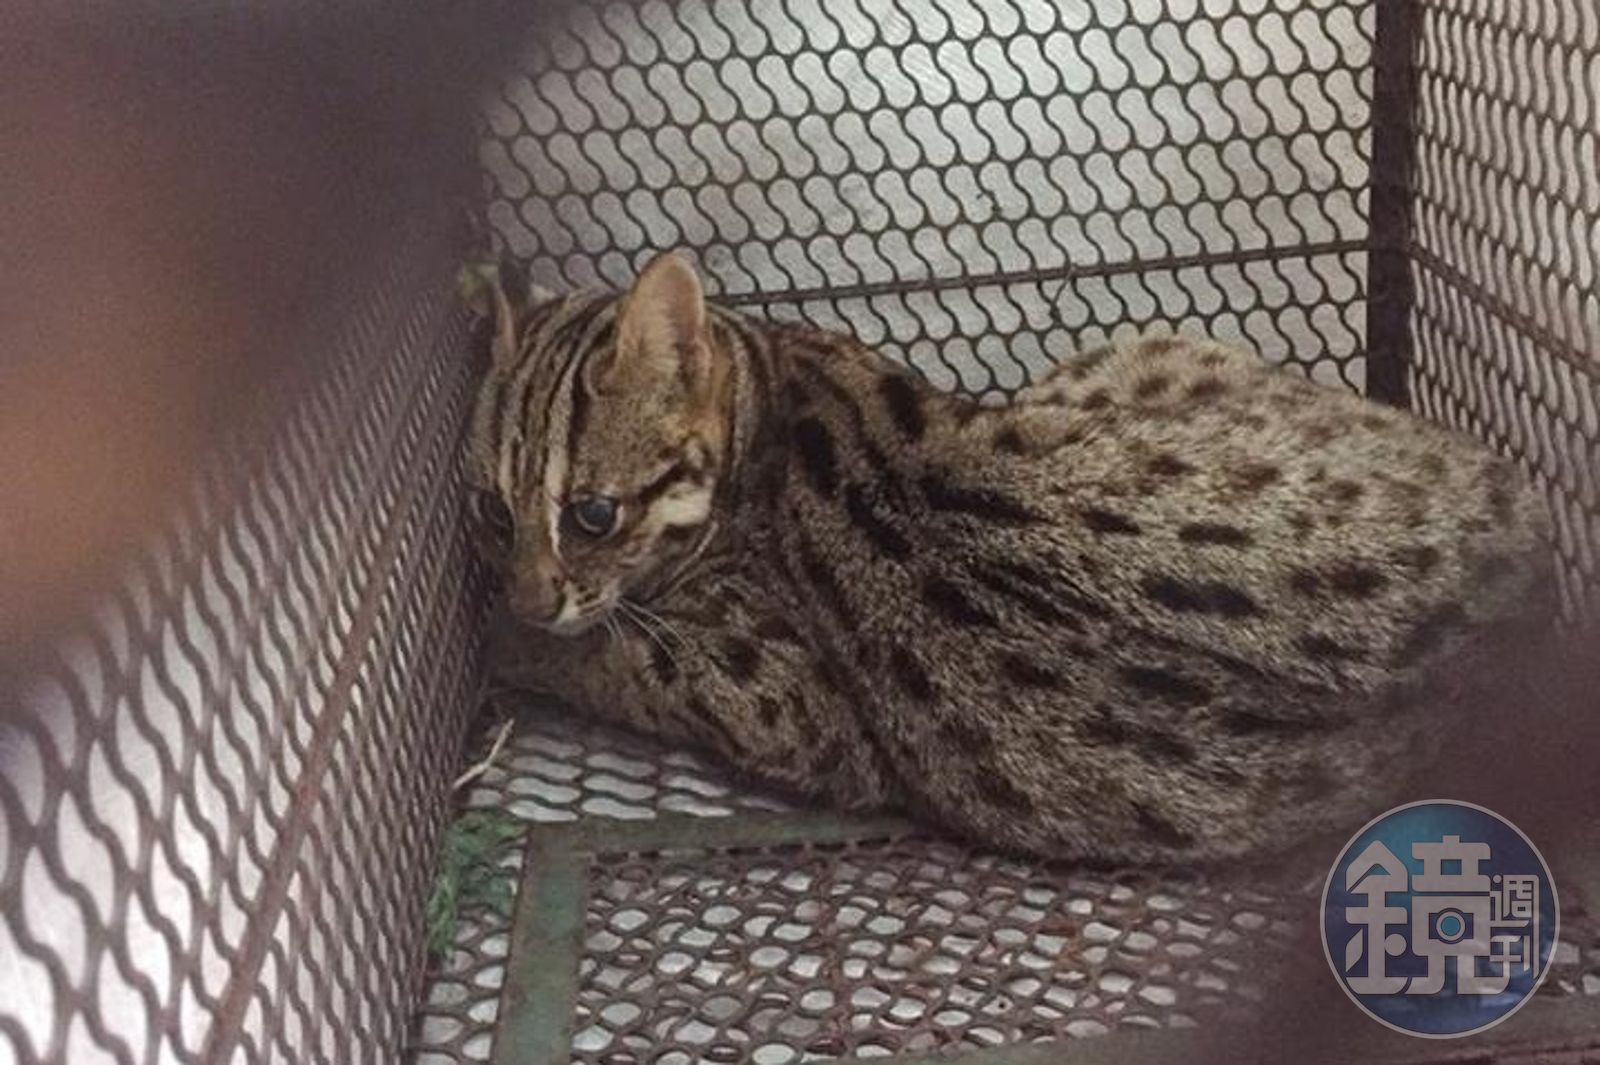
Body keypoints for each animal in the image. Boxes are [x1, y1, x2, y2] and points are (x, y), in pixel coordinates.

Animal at [458, 252, 1555, 864]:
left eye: (592, 513)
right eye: (491, 506)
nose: (526, 595)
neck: (770, 400)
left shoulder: (781, 705)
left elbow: (615, 656)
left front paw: (508, 644)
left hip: (1141, 349)